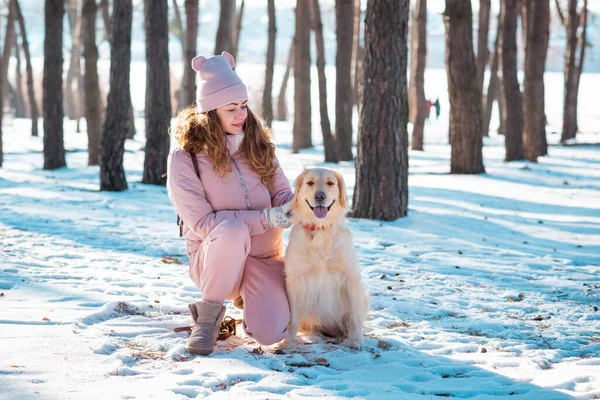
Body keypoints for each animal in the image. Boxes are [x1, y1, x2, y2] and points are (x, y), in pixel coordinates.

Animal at [284, 167, 368, 348]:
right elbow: (292, 318)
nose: (320, 196)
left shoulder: (351, 278)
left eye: (330, 183)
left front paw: (356, 340)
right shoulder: (295, 280)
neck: (320, 229)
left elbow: (355, 317)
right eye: (310, 182)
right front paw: (287, 342)